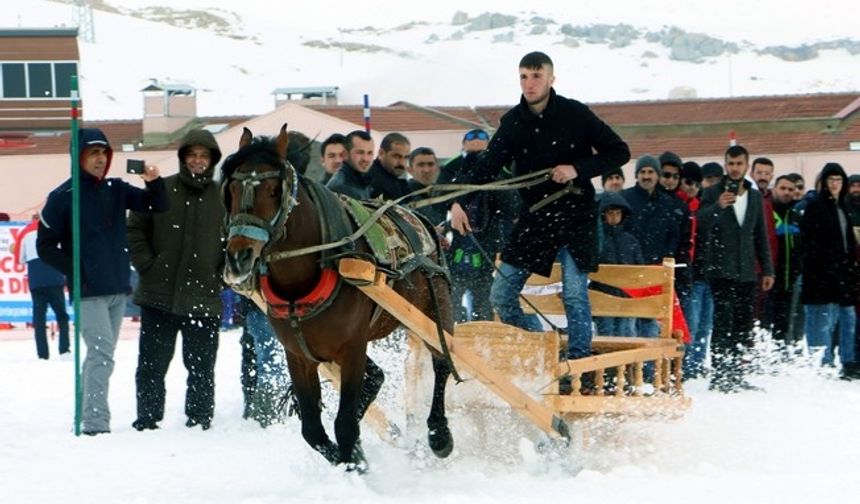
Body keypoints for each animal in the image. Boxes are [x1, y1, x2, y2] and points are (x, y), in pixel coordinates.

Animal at [218, 124, 454, 470]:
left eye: (274, 190)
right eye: (232, 189)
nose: (239, 258)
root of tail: (418, 217)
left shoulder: (352, 348)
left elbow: (344, 424)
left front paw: (353, 460)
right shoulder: (298, 355)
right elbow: (312, 429)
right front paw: (351, 458)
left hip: (435, 306)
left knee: (441, 362)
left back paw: (439, 434)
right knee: (377, 377)